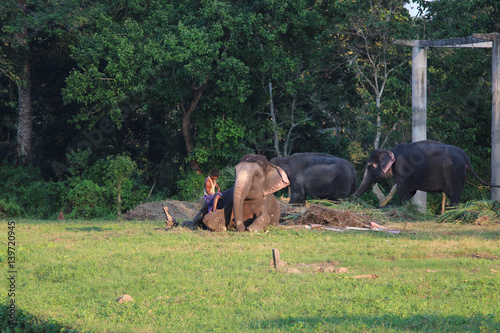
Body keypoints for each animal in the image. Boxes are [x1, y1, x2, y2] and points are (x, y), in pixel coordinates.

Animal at [354, 139, 498, 204]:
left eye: (370, 167)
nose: (351, 201)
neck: (391, 150)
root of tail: (465, 156)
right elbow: (411, 192)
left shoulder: (403, 169)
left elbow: (403, 191)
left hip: (454, 173)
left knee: (453, 196)